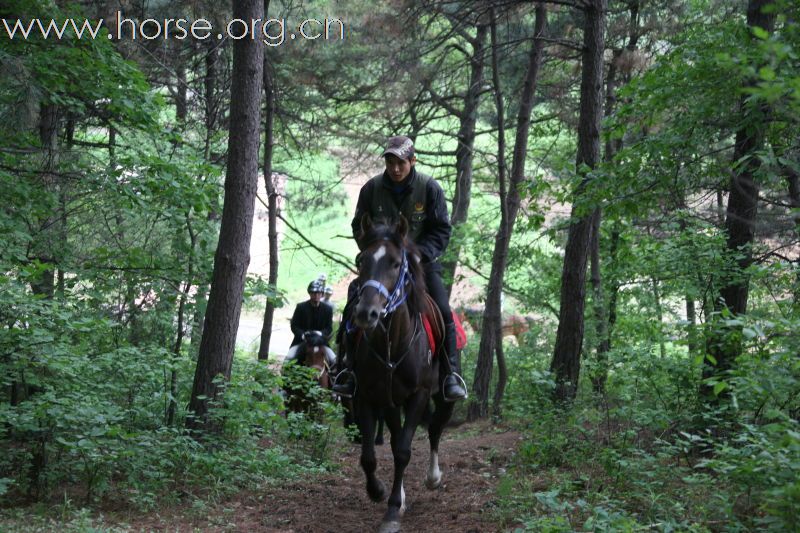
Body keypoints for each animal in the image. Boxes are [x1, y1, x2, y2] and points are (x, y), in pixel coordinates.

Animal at [346, 215, 456, 532]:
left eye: (396, 263)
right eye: (362, 260)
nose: (366, 314)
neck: (392, 342)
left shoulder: (419, 394)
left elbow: (405, 451)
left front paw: (393, 510)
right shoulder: (367, 396)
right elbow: (370, 455)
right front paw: (378, 491)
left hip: (441, 397)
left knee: (435, 429)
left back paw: (432, 478)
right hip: (392, 402)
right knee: (397, 437)